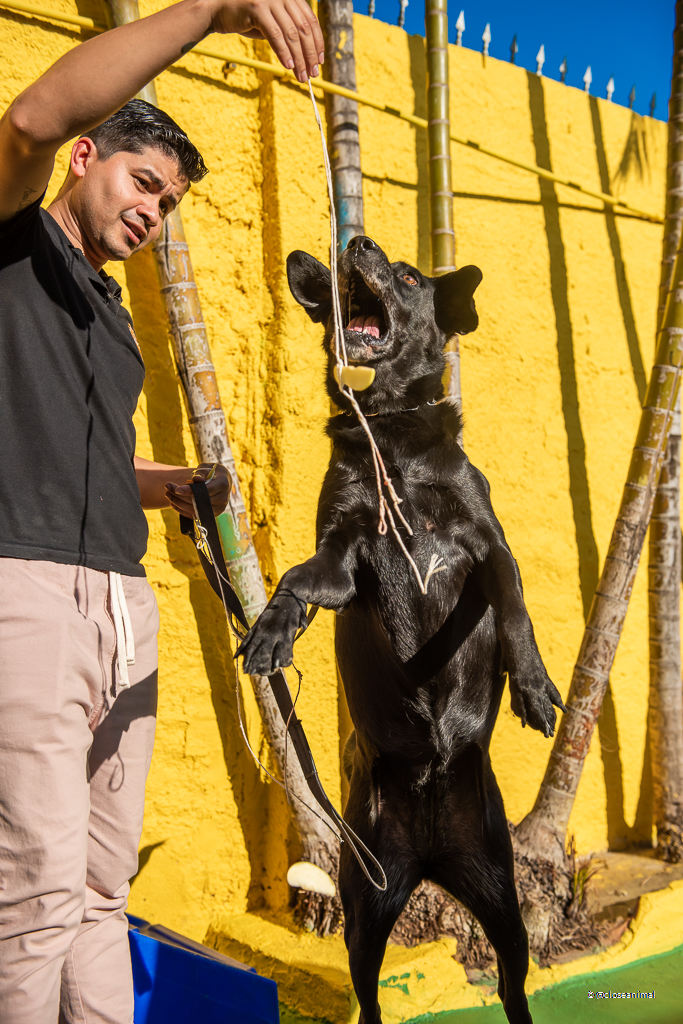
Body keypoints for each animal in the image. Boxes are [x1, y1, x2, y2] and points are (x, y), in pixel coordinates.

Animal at [237, 234, 569, 1024]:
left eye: (411, 276)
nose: (354, 241)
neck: (390, 439)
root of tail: (429, 863)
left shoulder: (487, 547)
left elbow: (515, 609)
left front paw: (532, 684)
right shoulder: (341, 555)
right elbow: (294, 579)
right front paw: (271, 632)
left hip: (505, 912)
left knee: (514, 989)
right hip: (365, 913)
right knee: (370, 999)